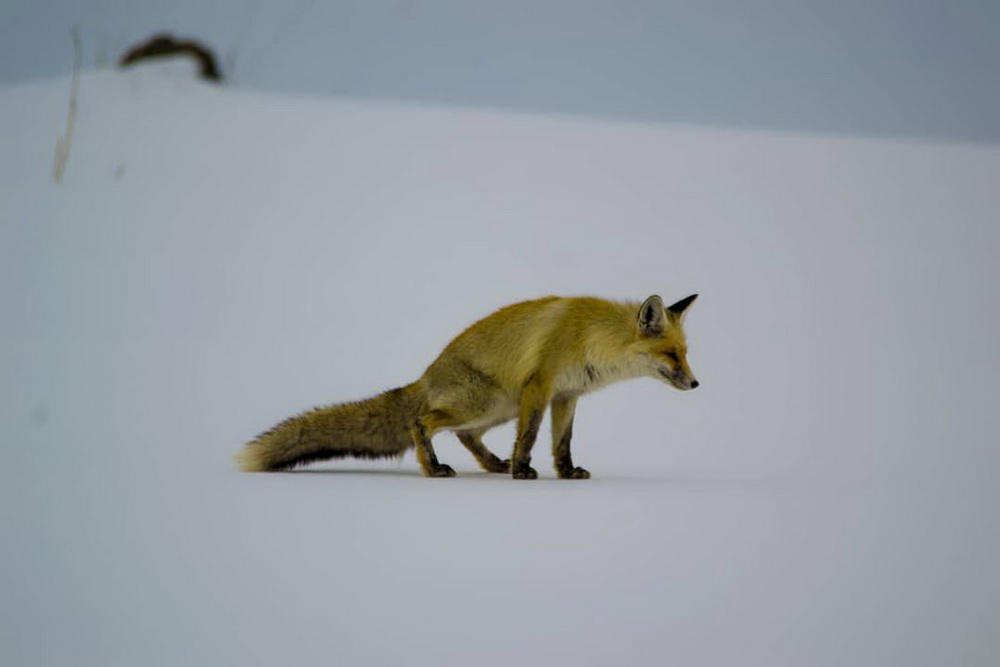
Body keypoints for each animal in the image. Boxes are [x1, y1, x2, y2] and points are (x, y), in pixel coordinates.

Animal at [237, 294, 700, 480]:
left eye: (685, 351)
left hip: (500, 408)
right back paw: (434, 467)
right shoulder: (540, 386)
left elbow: (561, 443)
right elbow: (530, 437)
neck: (589, 338)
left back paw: (492, 463)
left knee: (465, 435)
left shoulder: (566, 396)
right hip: (490, 401)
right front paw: (521, 472)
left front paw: (566, 473)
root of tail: (425, 376)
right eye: (671, 355)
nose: (697, 383)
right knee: (422, 422)